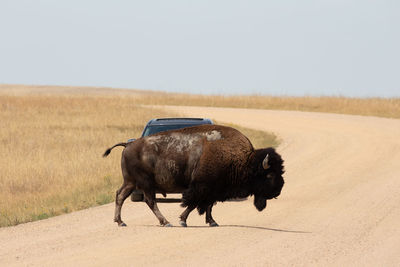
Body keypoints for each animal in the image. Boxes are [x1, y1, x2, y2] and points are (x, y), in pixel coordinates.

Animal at [103, 124, 284, 227]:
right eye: (269, 175)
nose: (278, 191)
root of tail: (129, 144)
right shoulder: (202, 187)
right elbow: (194, 204)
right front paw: (182, 220)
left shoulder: (213, 189)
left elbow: (209, 205)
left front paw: (212, 222)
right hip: (145, 183)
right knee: (150, 201)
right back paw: (166, 222)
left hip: (130, 182)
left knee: (120, 196)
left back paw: (120, 222)